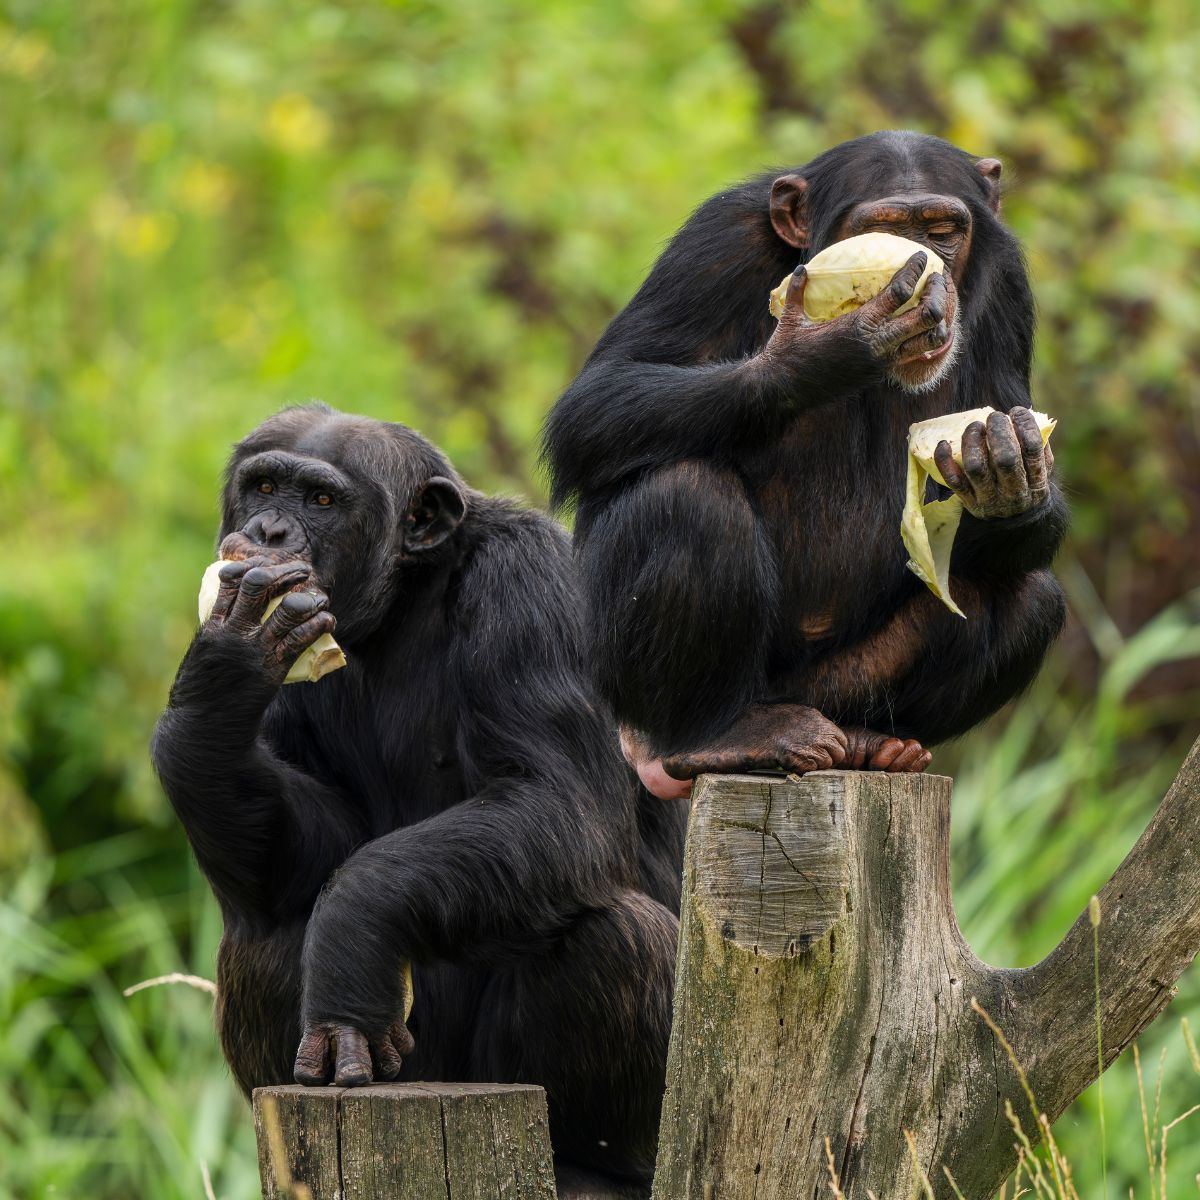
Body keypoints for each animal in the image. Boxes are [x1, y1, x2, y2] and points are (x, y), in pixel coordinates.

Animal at [147, 403, 686, 1180]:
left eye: (321, 500)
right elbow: (322, 840)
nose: (270, 533)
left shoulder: (533, 585)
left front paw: (347, 956)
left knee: (614, 940)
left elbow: (561, 802)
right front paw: (225, 669)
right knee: (267, 926)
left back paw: (596, 1167)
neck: (403, 601)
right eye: (265, 486)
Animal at [544, 129, 1070, 796]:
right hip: (628, 692)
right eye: (883, 228)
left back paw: (876, 744)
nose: (928, 268)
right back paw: (722, 736)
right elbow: (597, 403)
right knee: (684, 495)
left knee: (1031, 598)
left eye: (943, 229)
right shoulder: (717, 242)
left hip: (833, 687)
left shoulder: (1009, 284)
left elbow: (1006, 423)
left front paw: (1009, 466)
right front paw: (828, 351)